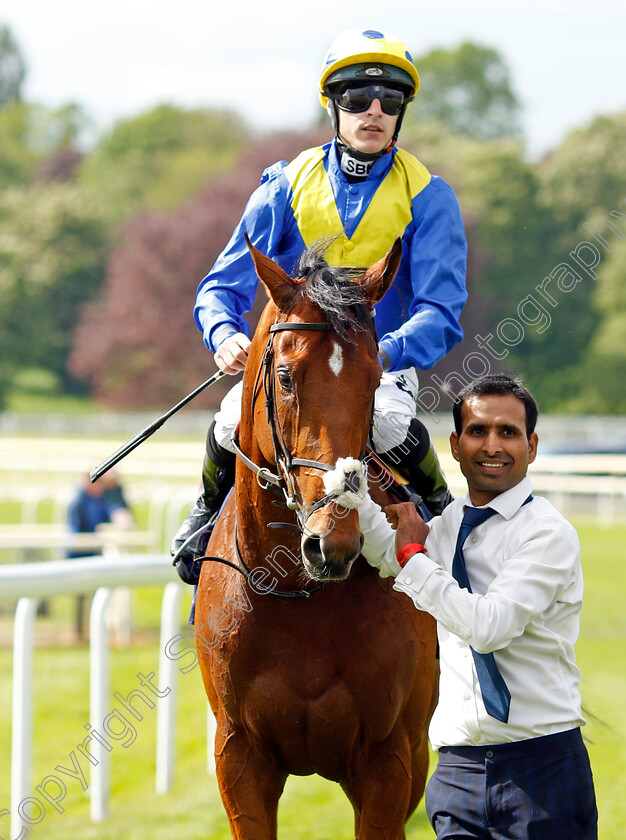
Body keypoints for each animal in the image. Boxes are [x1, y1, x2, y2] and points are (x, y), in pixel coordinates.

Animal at [194, 236, 434, 840]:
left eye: (374, 378)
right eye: (285, 376)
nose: (334, 542)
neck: (296, 596)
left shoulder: (388, 759)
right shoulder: (238, 754)